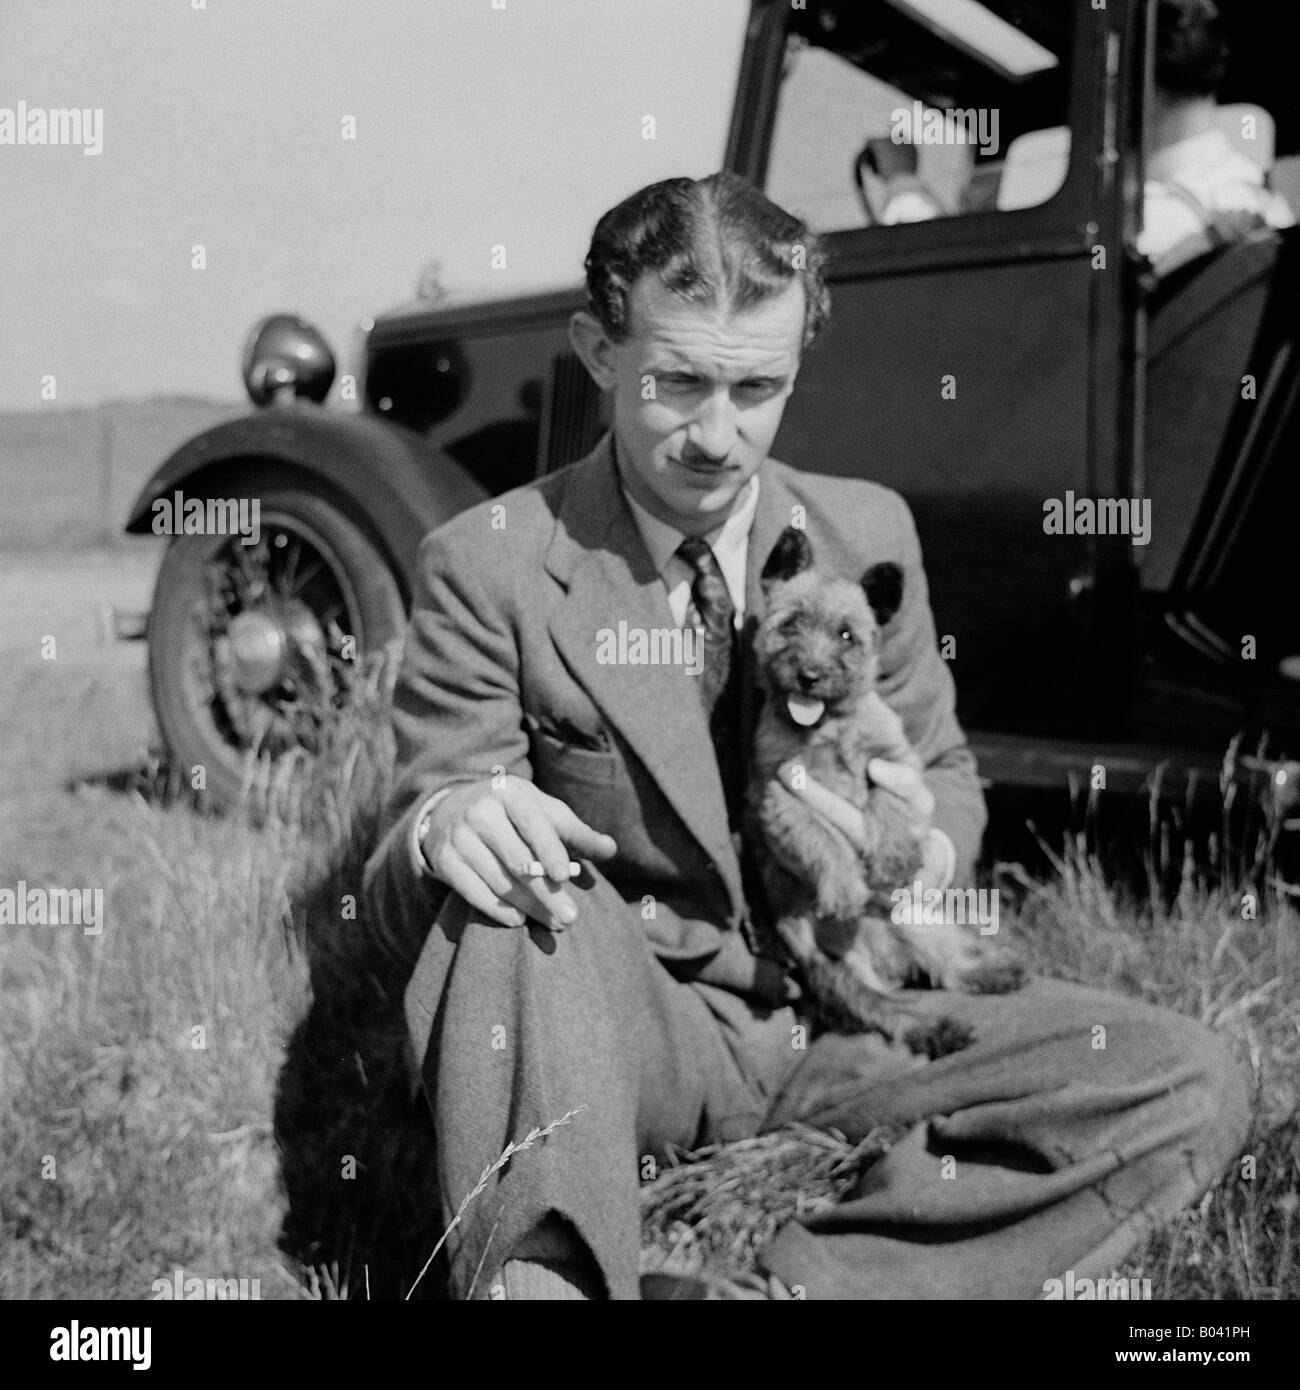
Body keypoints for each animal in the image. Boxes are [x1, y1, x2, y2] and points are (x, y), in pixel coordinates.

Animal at [750, 525, 1028, 1056]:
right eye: (791, 625)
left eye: (846, 635)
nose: (809, 676)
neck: (827, 728)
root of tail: (887, 961)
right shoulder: (781, 797)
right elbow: (822, 839)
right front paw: (842, 887)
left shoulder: (895, 762)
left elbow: (889, 803)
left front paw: (894, 857)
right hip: (836, 969)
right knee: (890, 1008)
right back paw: (935, 1027)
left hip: (916, 918)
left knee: (947, 963)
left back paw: (994, 971)